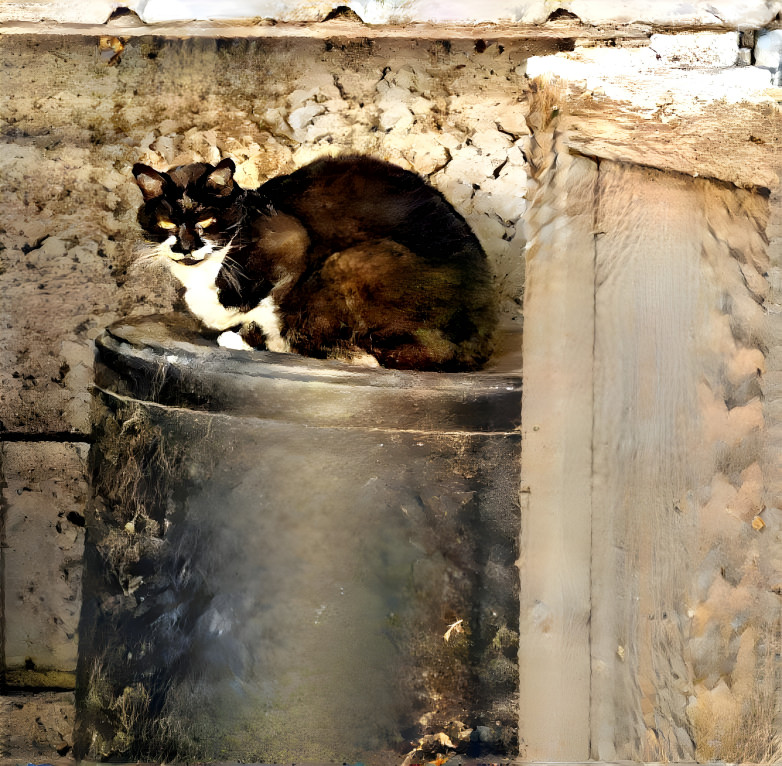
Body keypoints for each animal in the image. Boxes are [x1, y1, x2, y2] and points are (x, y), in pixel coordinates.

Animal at [129, 156, 496, 372]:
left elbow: (254, 304)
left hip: (350, 262)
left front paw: (243, 336)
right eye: (165, 224)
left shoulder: (292, 242)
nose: (185, 248)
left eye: (206, 221)